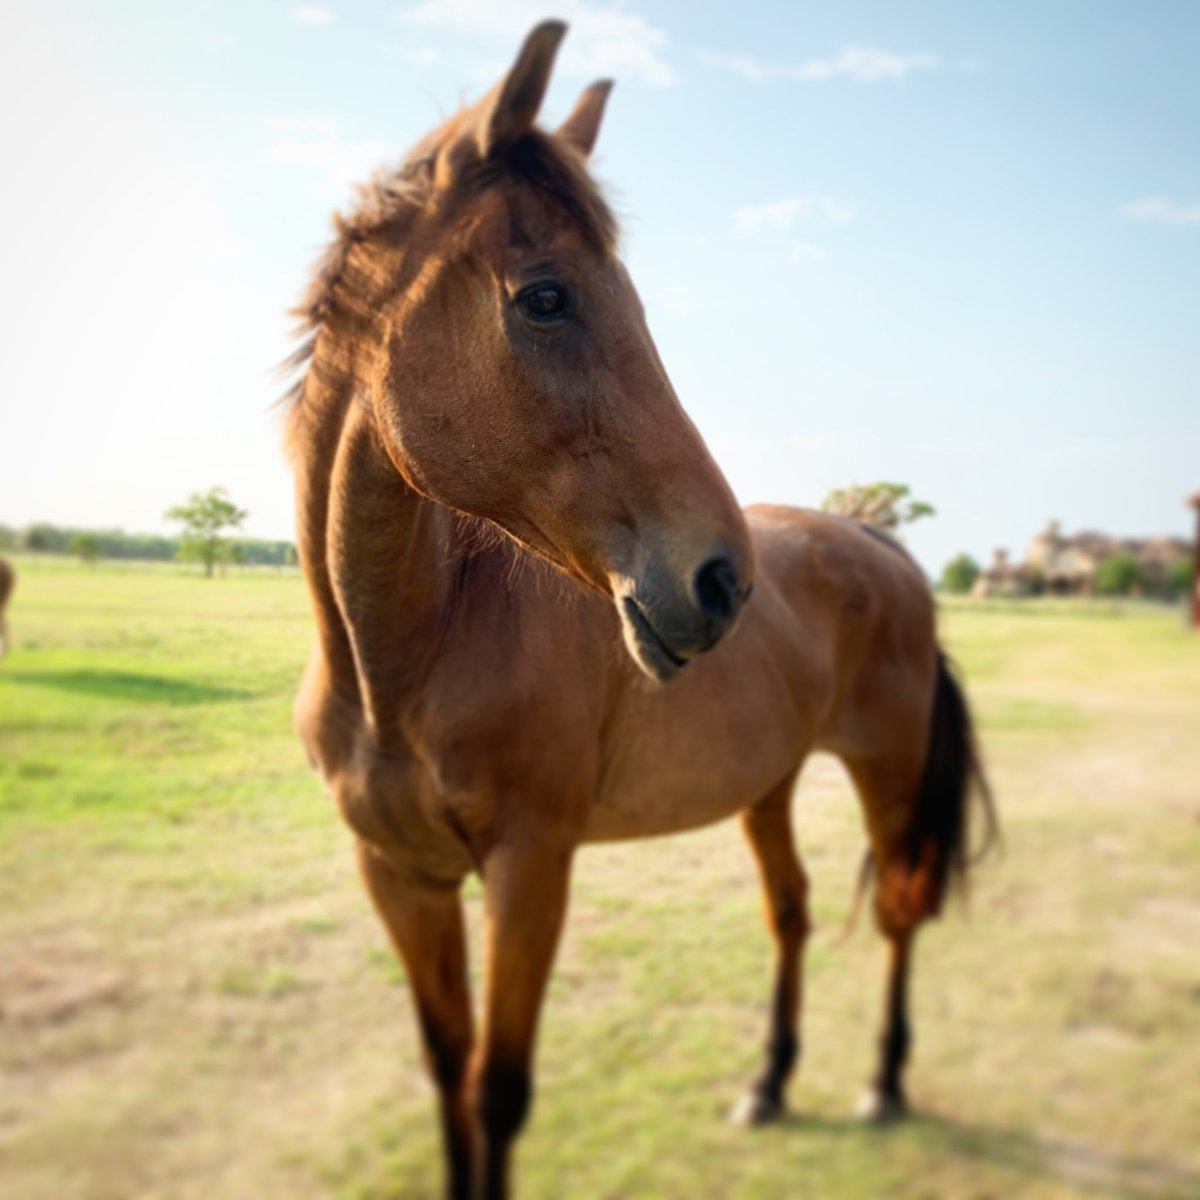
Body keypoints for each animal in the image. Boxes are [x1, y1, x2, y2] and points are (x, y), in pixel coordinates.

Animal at [283, 21, 995, 1200]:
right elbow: (447, 1080)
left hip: (886, 775)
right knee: (792, 913)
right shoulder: (403, 880)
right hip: (770, 787)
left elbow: (496, 1091)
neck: (408, 665)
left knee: (898, 908)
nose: (719, 580)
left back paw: (885, 1084)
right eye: (546, 297)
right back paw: (771, 1083)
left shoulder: (531, 869)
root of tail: (881, 548)